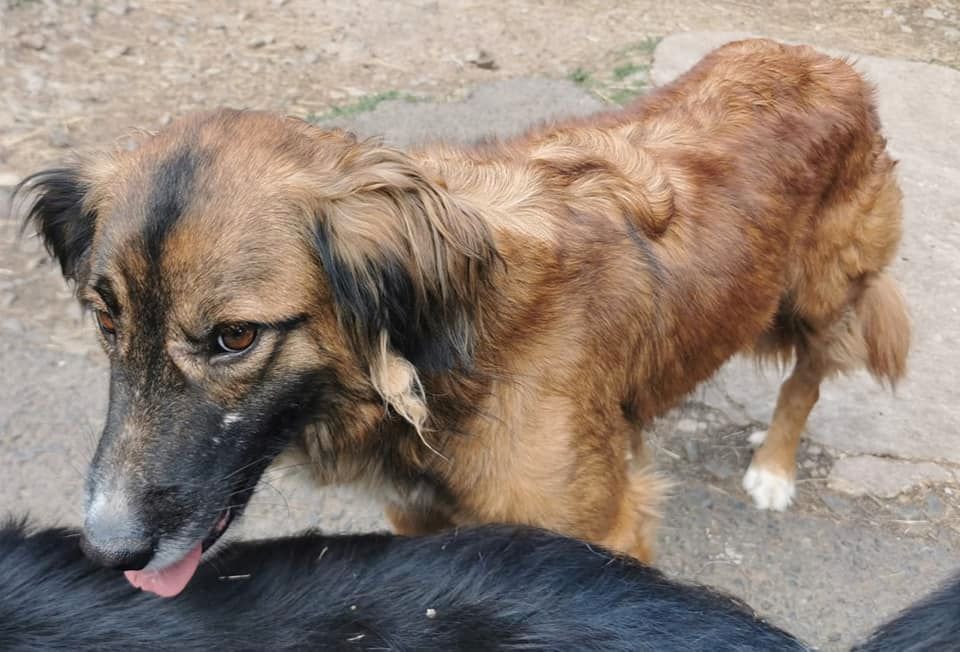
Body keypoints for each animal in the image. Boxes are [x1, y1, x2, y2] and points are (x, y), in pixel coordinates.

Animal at [18, 37, 912, 584]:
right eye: (107, 321)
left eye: (235, 337)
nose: (107, 548)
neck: (454, 348)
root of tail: (823, 61)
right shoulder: (423, 523)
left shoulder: (603, 536)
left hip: (825, 292)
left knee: (809, 377)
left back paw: (773, 468)